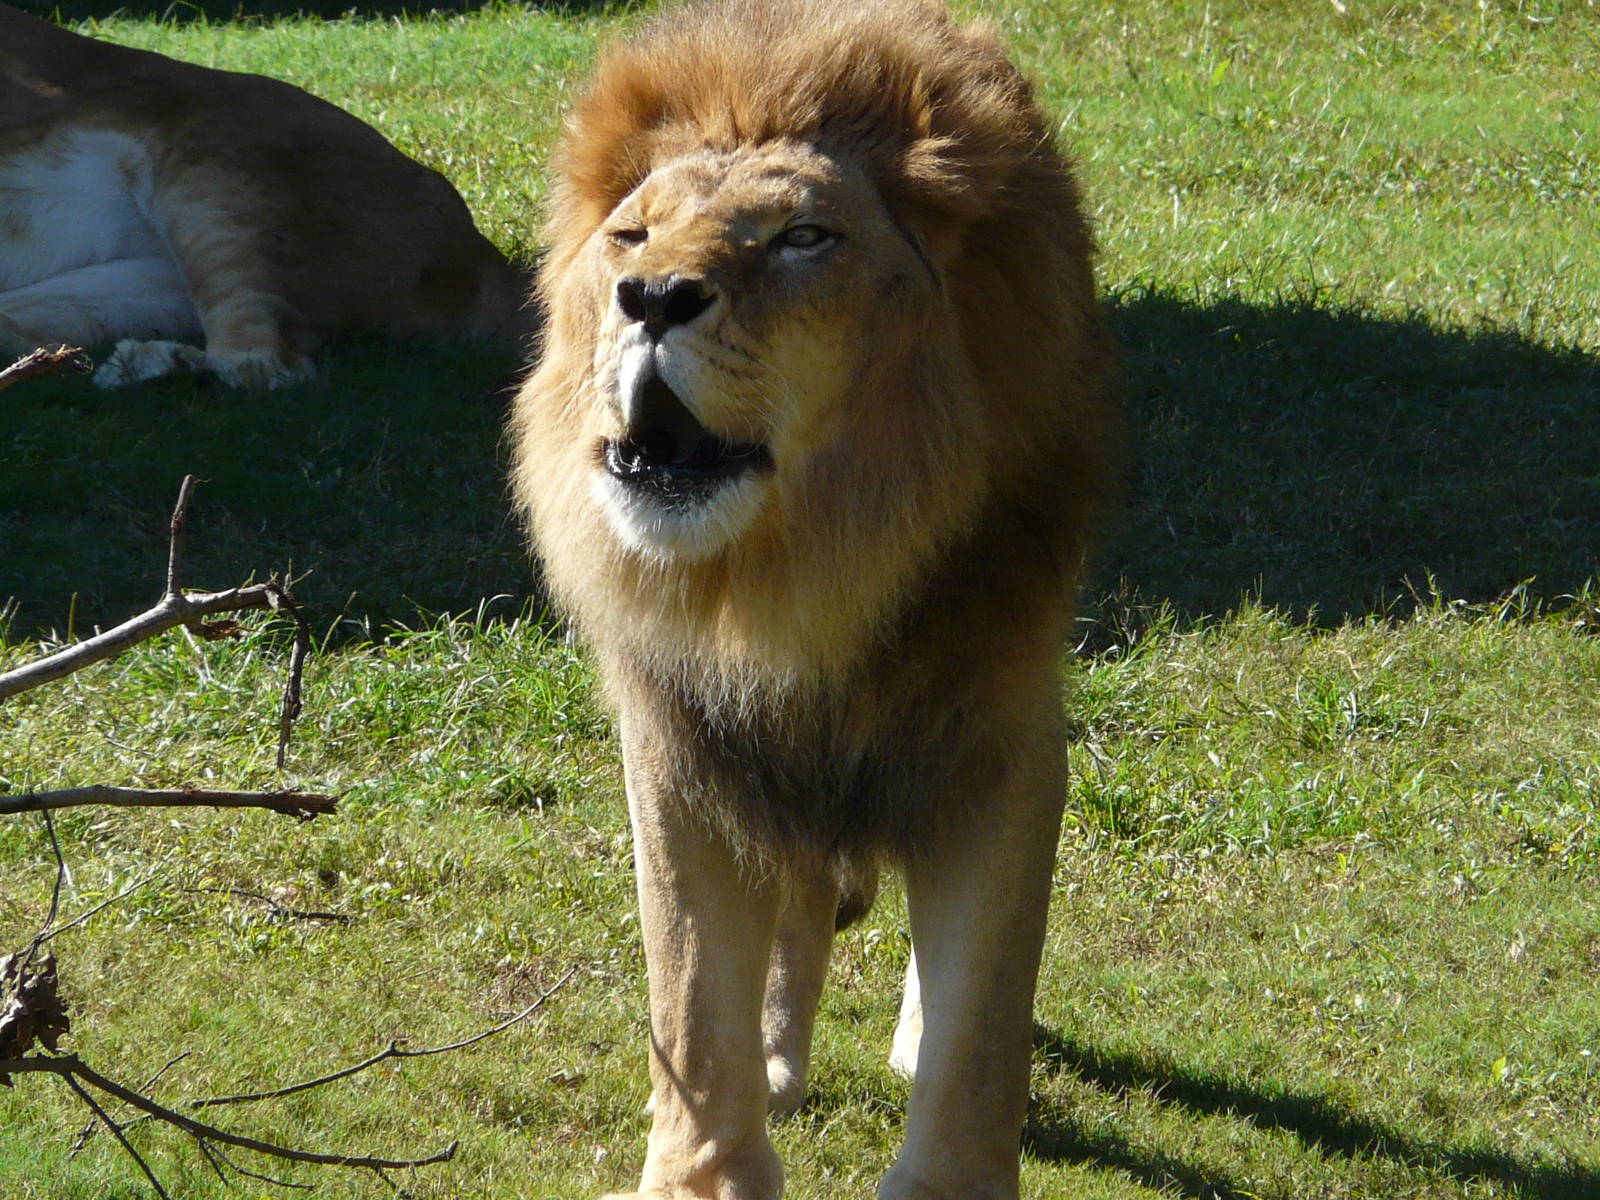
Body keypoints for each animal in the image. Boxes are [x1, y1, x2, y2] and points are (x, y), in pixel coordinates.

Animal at [510, 0, 1124, 1196]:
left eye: (802, 238)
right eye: (631, 239)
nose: (651, 301)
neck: (796, 577)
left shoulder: (994, 738)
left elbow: (983, 1019)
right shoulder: (685, 748)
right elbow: (691, 1003)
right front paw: (703, 1171)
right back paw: (781, 1057)